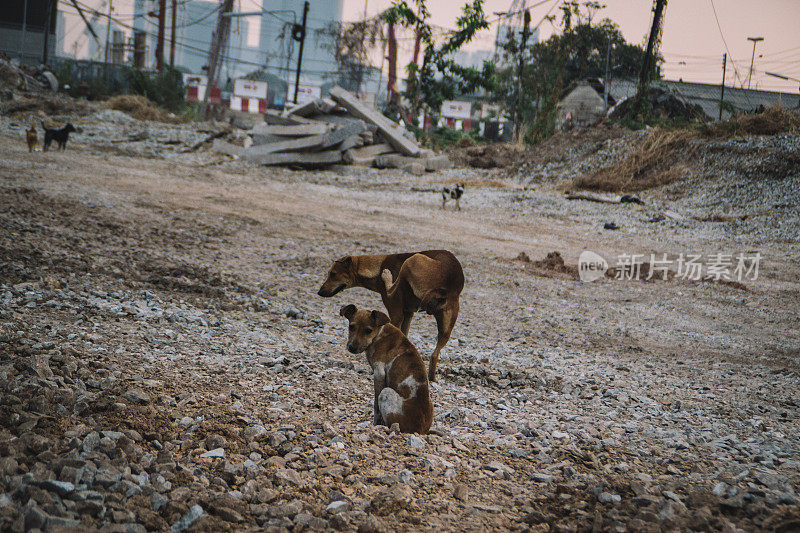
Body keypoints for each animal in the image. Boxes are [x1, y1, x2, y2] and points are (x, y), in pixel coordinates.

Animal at [318, 250, 462, 380]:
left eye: (333, 274)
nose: (319, 292)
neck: (377, 266)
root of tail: (442, 288)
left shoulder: (396, 313)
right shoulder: (408, 314)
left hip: (412, 260)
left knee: (391, 288)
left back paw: (387, 276)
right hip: (446, 329)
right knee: (434, 355)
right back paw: (432, 378)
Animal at [342, 304, 434, 432]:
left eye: (368, 331)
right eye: (351, 327)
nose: (352, 348)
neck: (379, 334)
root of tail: (420, 431)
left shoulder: (379, 373)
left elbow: (376, 406)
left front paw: (375, 424)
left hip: (387, 392)